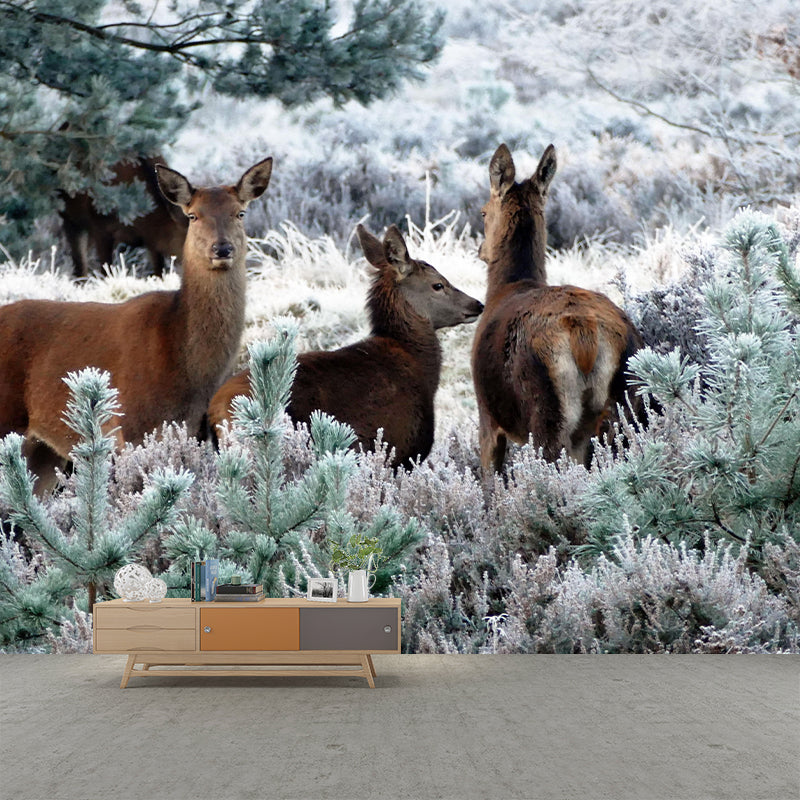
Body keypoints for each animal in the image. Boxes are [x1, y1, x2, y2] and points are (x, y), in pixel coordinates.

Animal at [60, 155, 189, 278]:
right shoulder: (99, 226)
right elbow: (106, 271)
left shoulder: (151, 241)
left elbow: (159, 273)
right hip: (71, 218)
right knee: (79, 263)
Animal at [471, 143, 643, 473]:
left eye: (483, 211)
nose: (480, 250)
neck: (507, 287)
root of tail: (586, 336)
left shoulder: (487, 414)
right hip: (627, 401)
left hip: (546, 407)